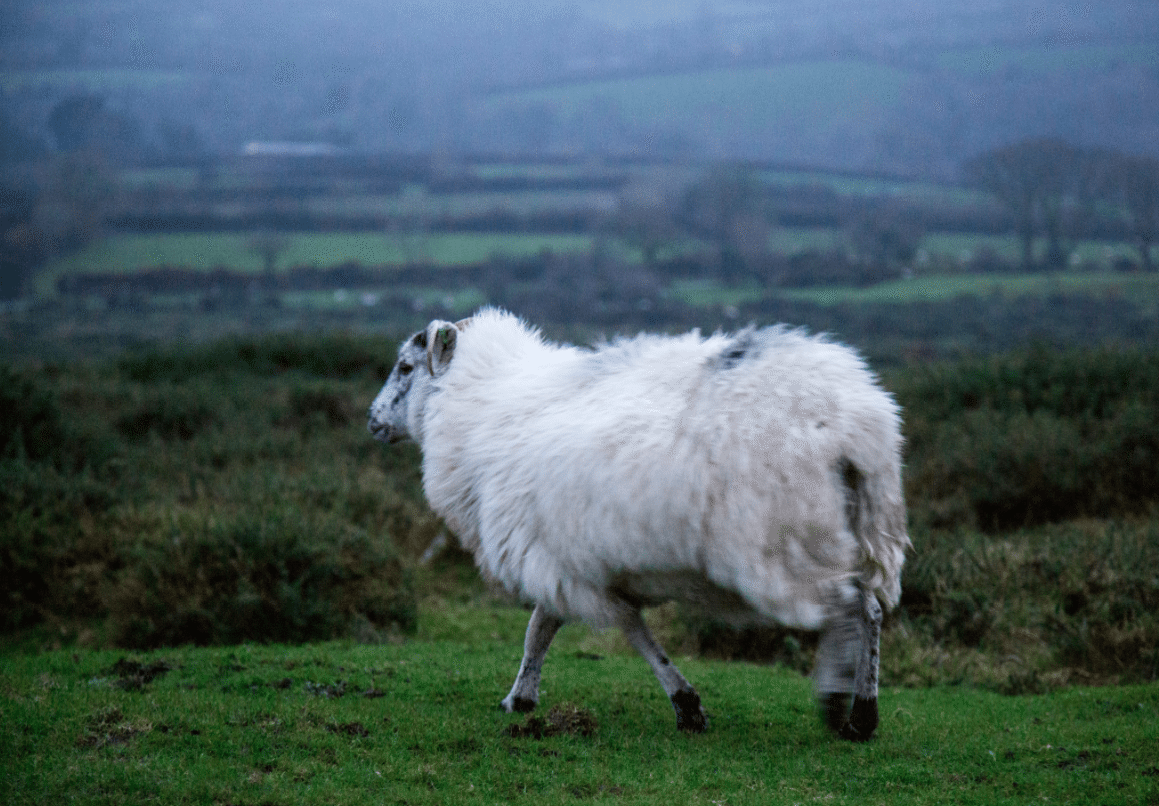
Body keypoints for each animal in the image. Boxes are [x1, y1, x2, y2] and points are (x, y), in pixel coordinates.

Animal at [366, 310, 908, 742]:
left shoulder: (561, 563)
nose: (372, 422)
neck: (480, 406)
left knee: (845, 607)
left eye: (406, 367)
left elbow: (619, 630)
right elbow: (543, 628)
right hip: (863, 532)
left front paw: (686, 704)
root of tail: (852, 424)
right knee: (870, 609)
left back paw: (838, 702)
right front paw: (520, 698)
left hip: (791, 540)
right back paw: (864, 713)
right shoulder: (563, 556)